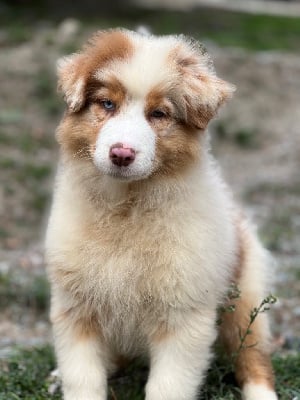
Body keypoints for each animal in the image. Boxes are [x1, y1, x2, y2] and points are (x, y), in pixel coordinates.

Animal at [45, 28, 278, 400]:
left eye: (158, 114)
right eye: (107, 104)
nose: (121, 154)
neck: (126, 210)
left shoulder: (183, 318)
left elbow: (167, 385)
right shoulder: (76, 308)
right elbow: (83, 378)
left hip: (247, 299)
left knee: (254, 358)